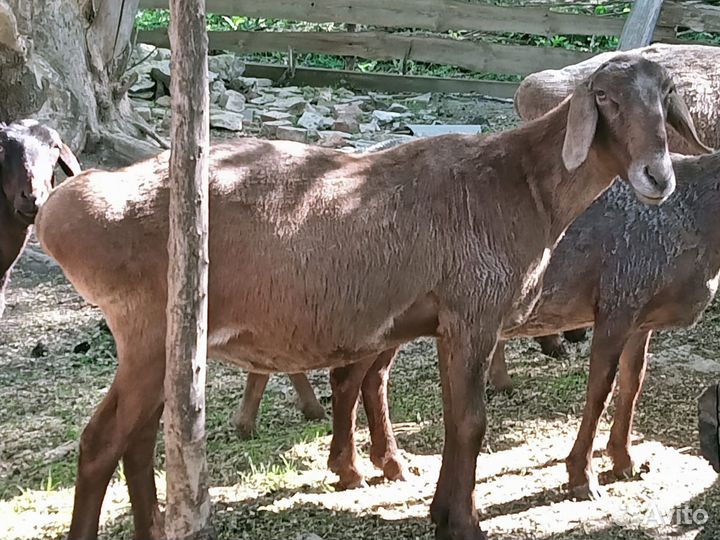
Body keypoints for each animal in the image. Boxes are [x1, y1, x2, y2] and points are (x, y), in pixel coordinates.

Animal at [32, 55, 698, 540]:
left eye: (665, 95)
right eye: (606, 98)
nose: (658, 177)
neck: (520, 183)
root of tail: (66, 208)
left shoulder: (442, 320)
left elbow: (446, 415)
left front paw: (433, 505)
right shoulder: (473, 313)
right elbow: (470, 422)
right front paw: (463, 522)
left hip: (163, 345)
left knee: (138, 440)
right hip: (149, 331)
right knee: (100, 443)